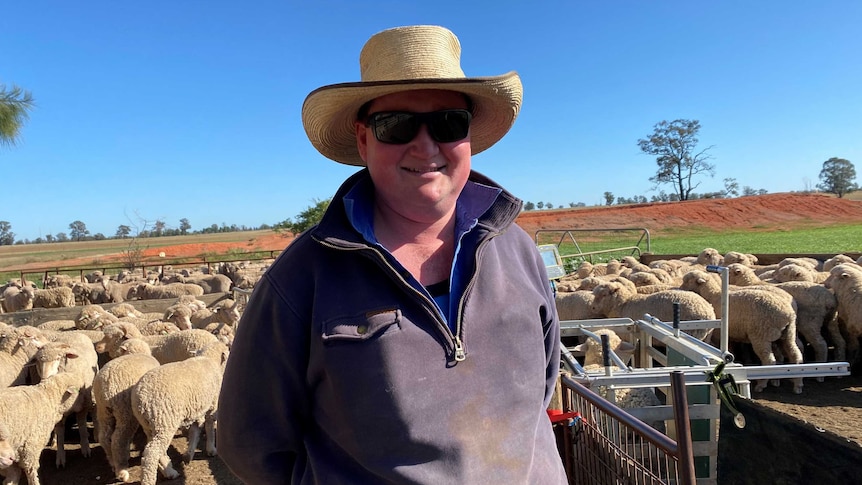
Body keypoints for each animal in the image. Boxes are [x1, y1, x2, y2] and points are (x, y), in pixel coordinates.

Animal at [93, 340, 161, 480]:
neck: (137, 352)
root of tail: (106, 387)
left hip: (103, 411)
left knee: (104, 437)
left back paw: (112, 461)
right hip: (125, 412)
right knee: (118, 440)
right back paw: (121, 470)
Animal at [130, 340, 228, 484]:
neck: (209, 359)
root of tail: (140, 396)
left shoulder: (197, 408)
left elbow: (195, 429)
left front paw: (189, 454)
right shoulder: (213, 404)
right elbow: (209, 426)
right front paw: (211, 449)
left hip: (149, 425)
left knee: (157, 450)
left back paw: (169, 472)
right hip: (164, 421)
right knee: (151, 453)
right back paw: (150, 479)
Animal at [680, 268, 808, 394]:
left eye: (687, 281)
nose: (679, 288)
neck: (713, 295)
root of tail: (788, 314)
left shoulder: (718, 335)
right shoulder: (731, 335)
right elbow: (731, 350)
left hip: (761, 336)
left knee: (769, 360)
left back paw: (762, 384)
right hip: (788, 334)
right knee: (795, 354)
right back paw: (797, 383)